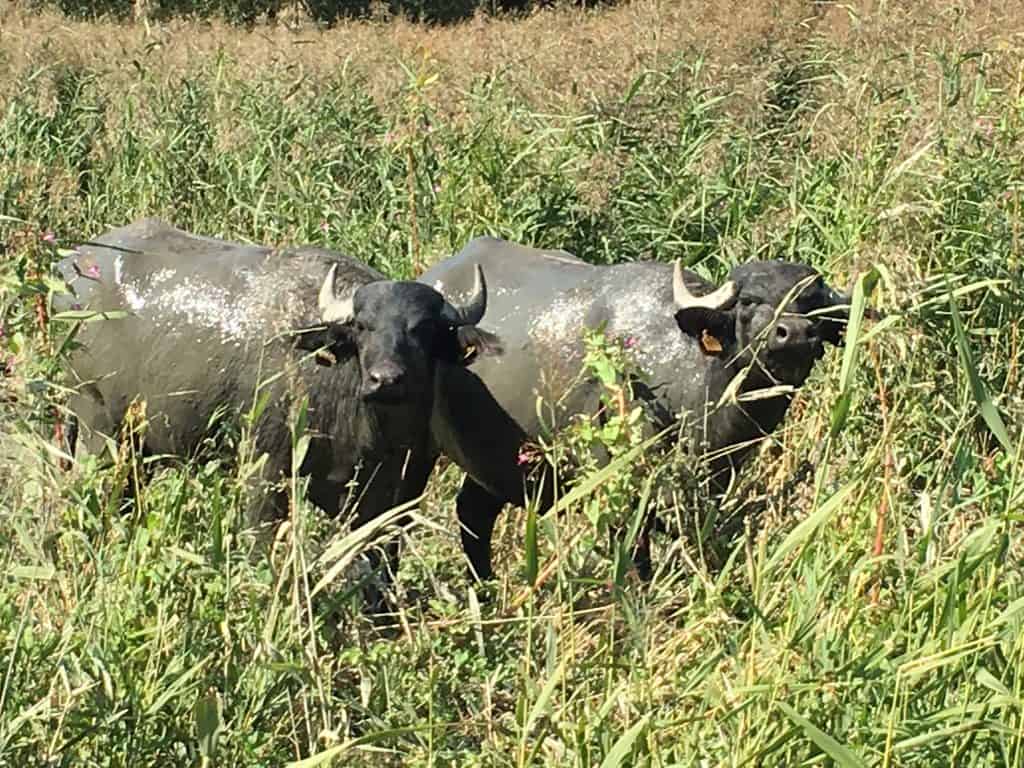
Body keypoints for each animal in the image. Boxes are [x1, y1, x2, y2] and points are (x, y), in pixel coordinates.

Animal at [56, 217, 499, 573]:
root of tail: (73, 266)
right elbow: (260, 540)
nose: (386, 379)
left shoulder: (394, 486)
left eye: (423, 330)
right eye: (362, 327)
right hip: (97, 426)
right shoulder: (264, 464)